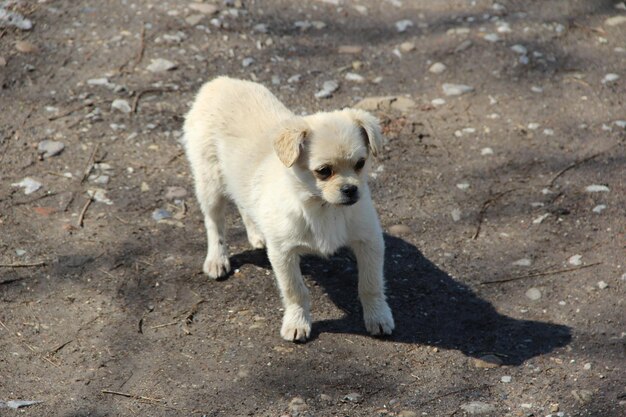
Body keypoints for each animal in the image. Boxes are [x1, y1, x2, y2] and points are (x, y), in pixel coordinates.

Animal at [183, 76, 392, 340]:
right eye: (324, 171)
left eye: (360, 163)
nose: (351, 190)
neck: (322, 208)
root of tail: (219, 82)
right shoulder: (283, 253)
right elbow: (295, 291)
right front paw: (297, 323)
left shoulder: (369, 242)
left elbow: (370, 284)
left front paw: (378, 316)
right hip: (209, 185)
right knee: (214, 223)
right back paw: (217, 259)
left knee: (244, 205)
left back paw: (256, 234)